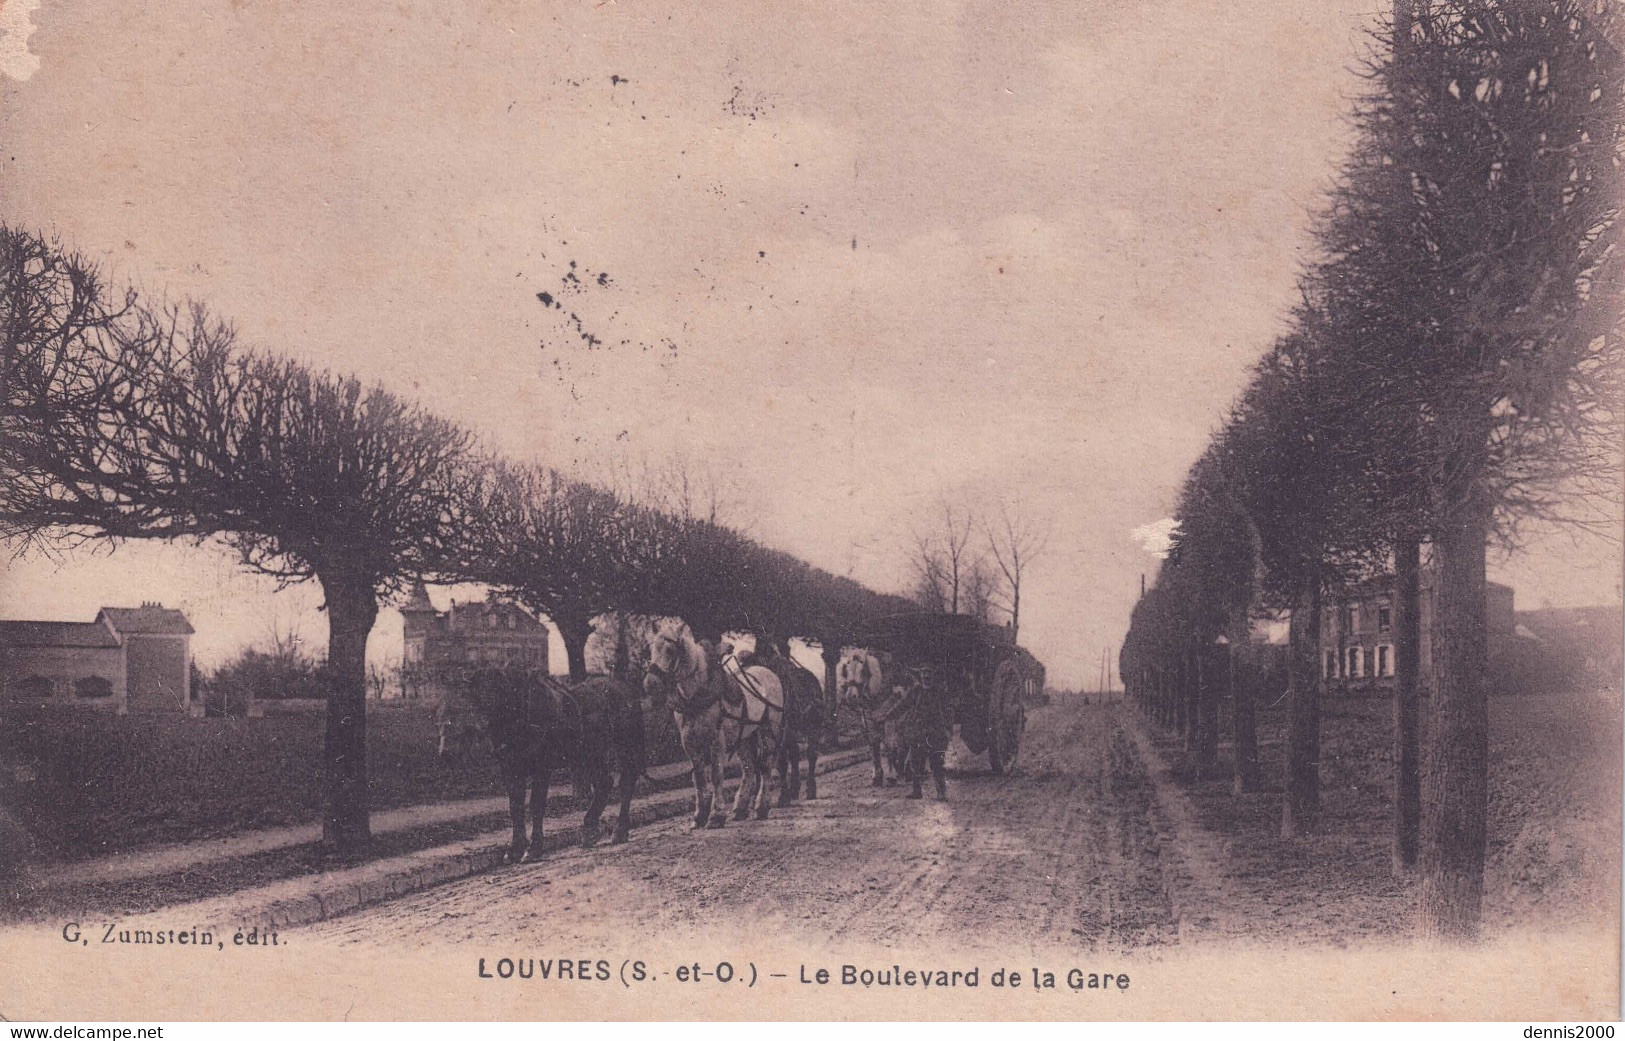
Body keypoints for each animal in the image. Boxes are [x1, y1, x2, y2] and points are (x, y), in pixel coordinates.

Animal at [458, 665, 646, 857]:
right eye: (474, 693)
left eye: (498, 689)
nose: (475, 727)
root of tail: (627, 688)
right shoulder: (510, 769)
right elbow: (515, 807)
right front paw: (515, 849)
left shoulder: (542, 768)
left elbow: (536, 805)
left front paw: (534, 848)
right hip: (591, 754)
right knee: (604, 783)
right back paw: (589, 831)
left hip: (625, 747)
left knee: (626, 783)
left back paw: (619, 831)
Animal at [640, 623, 786, 828]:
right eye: (651, 650)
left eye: (670, 650)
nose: (650, 684)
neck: (698, 695)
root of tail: (768, 673)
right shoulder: (689, 743)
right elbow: (699, 778)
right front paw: (699, 816)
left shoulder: (716, 740)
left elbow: (716, 775)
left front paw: (716, 816)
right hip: (743, 737)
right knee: (748, 769)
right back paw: (740, 809)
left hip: (768, 732)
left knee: (765, 767)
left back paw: (761, 808)